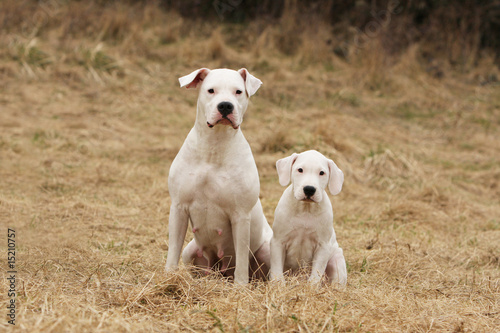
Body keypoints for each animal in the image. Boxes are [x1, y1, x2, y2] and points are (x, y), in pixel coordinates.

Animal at [165, 67, 272, 282]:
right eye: (211, 90)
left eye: (238, 92)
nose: (225, 106)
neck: (214, 146)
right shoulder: (179, 208)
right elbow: (173, 250)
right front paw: (168, 279)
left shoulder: (240, 215)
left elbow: (242, 258)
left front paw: (241, 286)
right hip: (191, 251)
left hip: (267, 249)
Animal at [270, 150, 348, 286]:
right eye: (300, 170)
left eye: (322, 173)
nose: (309, 189)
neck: (306, 210)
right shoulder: (278, 242)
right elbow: (277, 268)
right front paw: (278, 285)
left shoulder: (323, 246)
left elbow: (316, 272)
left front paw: (311, 287)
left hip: (336, 259)